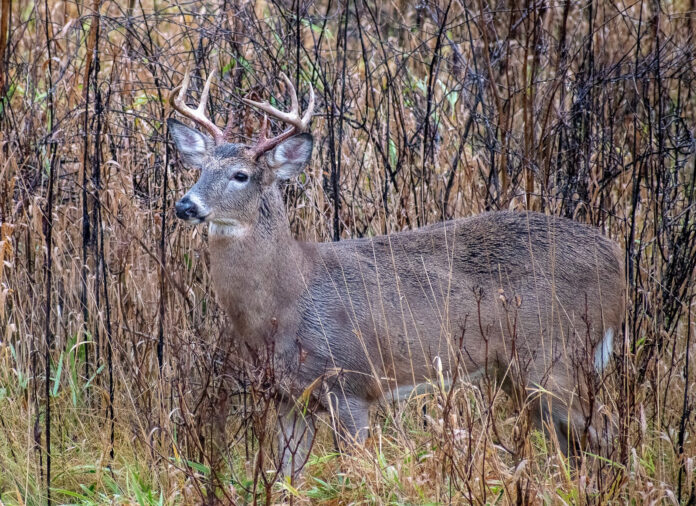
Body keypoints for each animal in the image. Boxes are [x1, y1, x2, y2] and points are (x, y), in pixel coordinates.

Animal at [167, 69, 626, 477]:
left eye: (240, 175)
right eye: (199, 170)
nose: (185, 205)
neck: (289, 299)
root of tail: (617, 261)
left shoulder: (351, 383)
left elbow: (354, 472)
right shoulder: (285, 396)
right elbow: (285, 478)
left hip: (557, 352)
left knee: (606, 429)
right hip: (521, 370)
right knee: (570, 441)